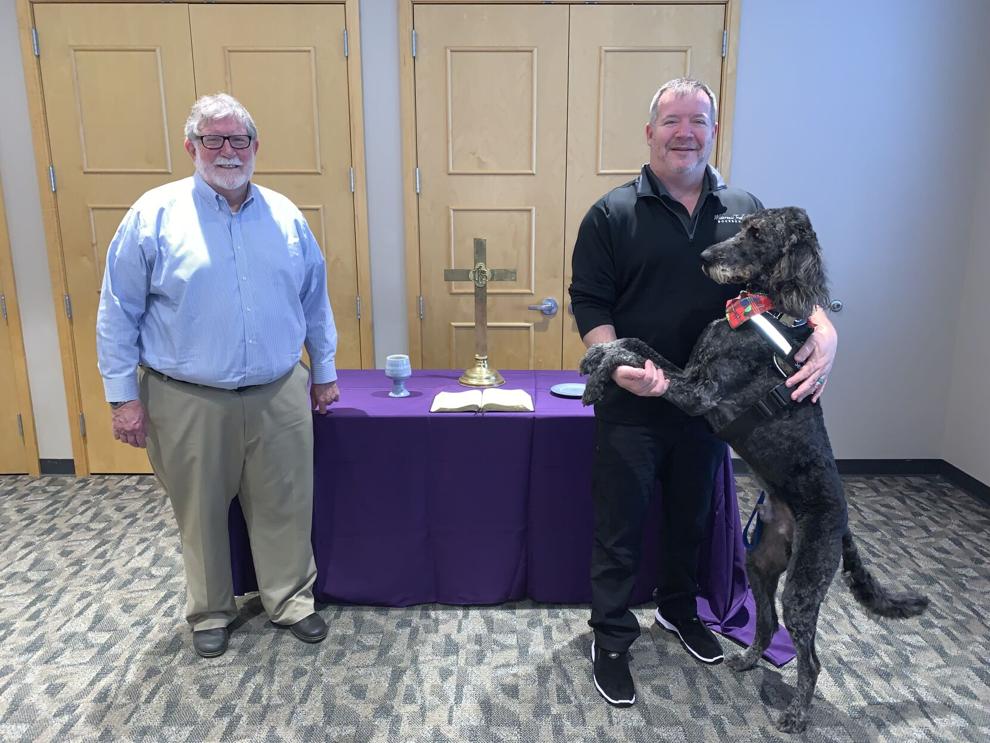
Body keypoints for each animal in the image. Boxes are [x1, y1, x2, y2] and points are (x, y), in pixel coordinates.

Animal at [580, 206, 928, 736]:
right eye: (742, 224)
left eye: (758, 233)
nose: (705, 256)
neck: (764, 310)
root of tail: (844, 523)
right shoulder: (687, 369)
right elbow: (631, 340)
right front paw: (595, 356)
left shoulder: (698, 392)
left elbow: (630, 352)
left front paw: (600, 378)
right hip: (760, 565)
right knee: (765, 623)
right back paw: (747, 661)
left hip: (804, 587)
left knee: (811, 659)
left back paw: (796, 715)